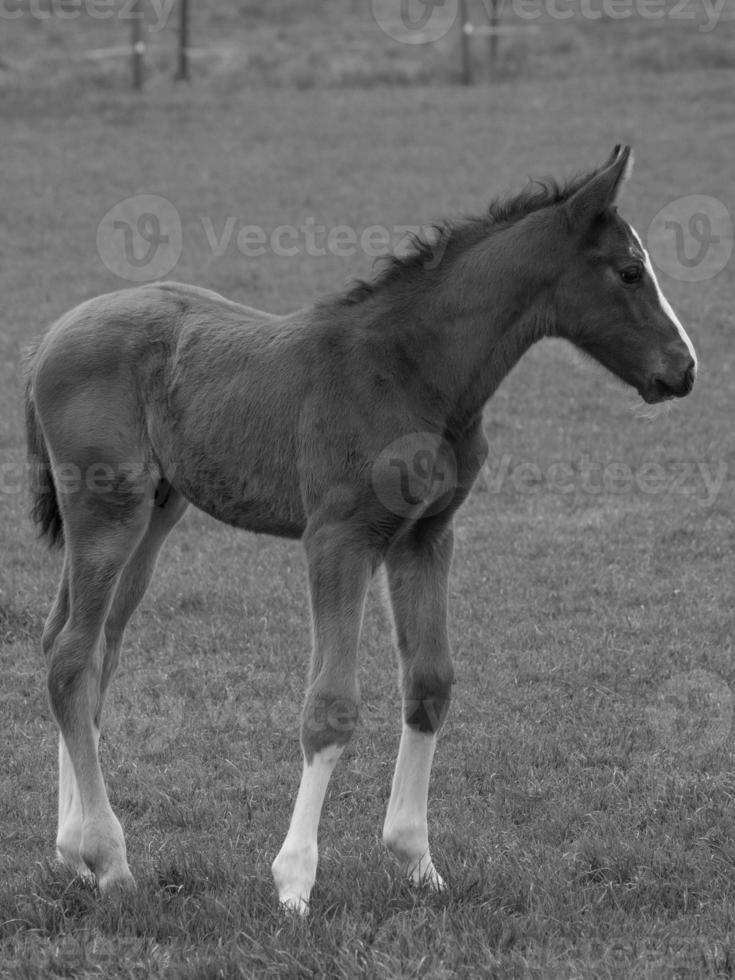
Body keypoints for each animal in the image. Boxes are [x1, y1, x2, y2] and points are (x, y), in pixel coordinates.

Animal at [24, 145, 696, 912]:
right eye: (629, 271)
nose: (685, 369)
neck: (411, 372)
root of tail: (50, 336)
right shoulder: (338, 539)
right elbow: (331, 706)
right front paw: (294, 882)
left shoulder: (425, 536)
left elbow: (430, 682)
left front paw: (417, 861)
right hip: (107, 510)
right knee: (71, 657)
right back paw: (109, 858)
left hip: (156, 516)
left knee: (88, 649)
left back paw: (72, 851)